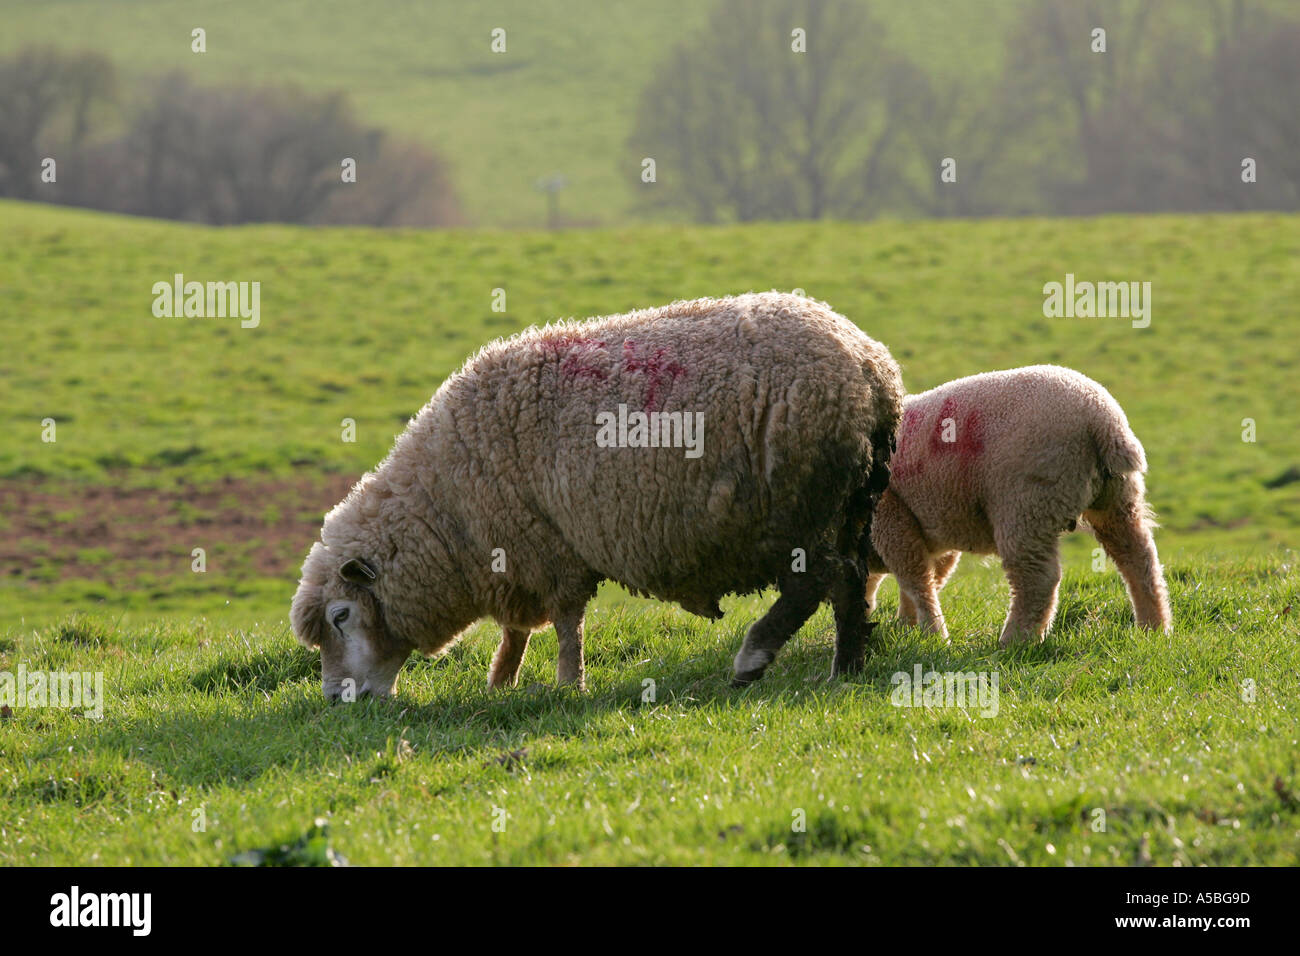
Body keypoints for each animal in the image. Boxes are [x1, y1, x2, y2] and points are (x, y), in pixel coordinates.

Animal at [289, 287, 899, 697]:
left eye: (342, 616)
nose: (338, 700)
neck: (446, 508)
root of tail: (871, 368)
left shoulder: (547, 546)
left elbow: (565, 622)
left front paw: (567, 684)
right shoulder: (515, 553)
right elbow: (516, 628)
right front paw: (502, 680)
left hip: (801, 508)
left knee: (812, 583)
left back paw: (754, 657)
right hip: (851, 504)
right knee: (849, 581)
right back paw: (846, 667)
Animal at [868, 366, 1175, 650]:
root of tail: (1104, 421)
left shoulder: (890, 516)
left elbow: (916, 579)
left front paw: (931, 635)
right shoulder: (939, 530)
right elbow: (931, 578)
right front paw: (908, 627)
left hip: (1024, 504)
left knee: (1037, 579)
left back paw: (1015, 641)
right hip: (1117, 499)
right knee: (1139, 559)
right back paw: (1154, 628)